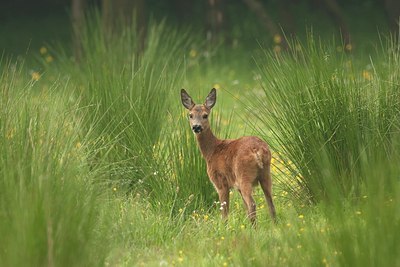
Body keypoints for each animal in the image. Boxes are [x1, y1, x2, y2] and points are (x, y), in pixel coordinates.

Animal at [180, 89, 276, 225]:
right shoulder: (236, 186)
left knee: (252, 204)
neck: (212, 151)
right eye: (190, 115)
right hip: (265, 174)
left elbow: (224, 212)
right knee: (270, 203)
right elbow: (244, 209)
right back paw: (274, 226)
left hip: (244, 175)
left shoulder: (220, 182)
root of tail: (258, 150)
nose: (196, 127)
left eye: (205, 115)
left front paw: (224, 226)